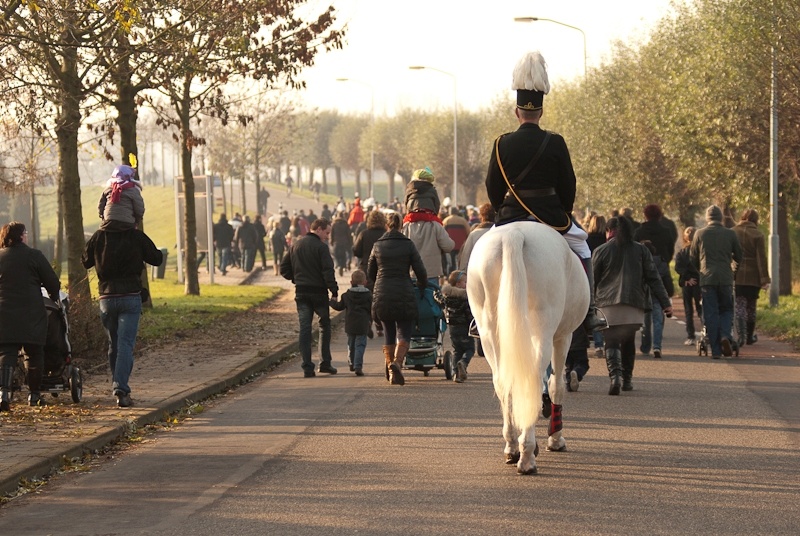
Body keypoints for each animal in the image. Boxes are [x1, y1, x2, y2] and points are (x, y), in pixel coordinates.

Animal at [466, 221, 592, 474]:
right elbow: (555, 385)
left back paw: (512, 447)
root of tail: (514, 235)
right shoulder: (563, 336)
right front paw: (555, 437)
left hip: (489, 332)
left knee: (503, 382)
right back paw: (527, 456)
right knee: (532, 379)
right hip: (542, 329)